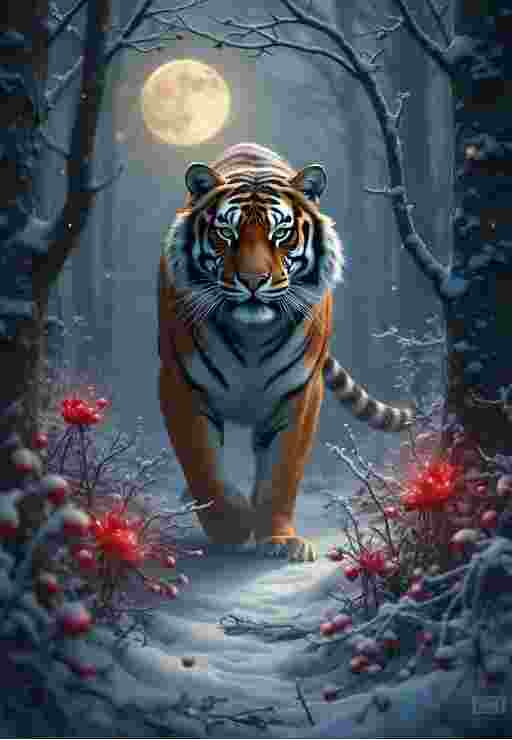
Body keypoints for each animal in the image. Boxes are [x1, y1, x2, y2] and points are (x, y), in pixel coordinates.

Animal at [158, 142, 413, 562]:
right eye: (226, 233)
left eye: (281, 234)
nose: (253, 281)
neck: (251, 335)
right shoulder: (181, 385)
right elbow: (203, 466)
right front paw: (233, 523)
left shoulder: (300, 392)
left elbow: (283, 472)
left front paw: (278, 538)